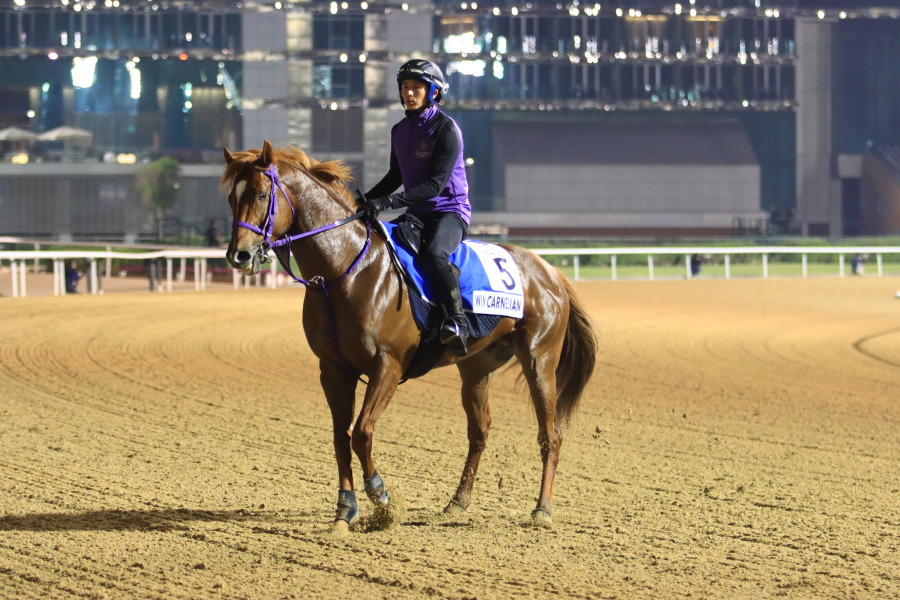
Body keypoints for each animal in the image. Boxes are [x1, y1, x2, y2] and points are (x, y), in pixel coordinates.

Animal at [221, 143, 596, 532]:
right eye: (231, 198)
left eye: (262, 194)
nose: (239, 255)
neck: (347, 271)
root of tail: (550, 270)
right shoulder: (333, 369)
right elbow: (341, 437)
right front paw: (345, 510)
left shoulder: (387, 365)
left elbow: (362, 432)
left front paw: (382, 500)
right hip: (476, 369)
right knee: (479, 433)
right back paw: (457, 502)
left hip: (540, 359)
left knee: (551, 434)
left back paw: (542, 510)